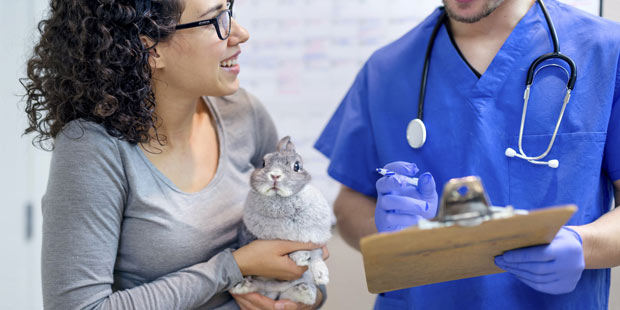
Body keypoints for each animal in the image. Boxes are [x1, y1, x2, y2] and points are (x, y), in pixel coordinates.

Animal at [230, 136, 332, 306]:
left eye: (297, 166)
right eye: (263, 163)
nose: (275, 175)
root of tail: (273, 291)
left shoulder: (314, 239)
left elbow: (316, 255)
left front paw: (321, 275)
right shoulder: (252, 236)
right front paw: (301, 256)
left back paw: (303, 291)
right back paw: (241, 285)